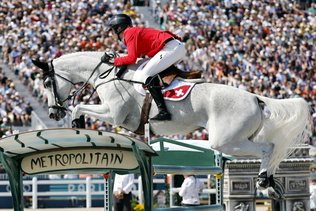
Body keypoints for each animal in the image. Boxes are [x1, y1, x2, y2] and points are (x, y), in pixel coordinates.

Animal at [32, 51, 312, 199]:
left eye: (46, 83)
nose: (53, 113)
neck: (107, 75)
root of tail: (256, 97)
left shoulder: (114, 114)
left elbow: (80, 107)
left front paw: (76, 120)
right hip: (238, 139)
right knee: (269, 149)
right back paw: (270, 183)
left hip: (226, 141)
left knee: (268, 148)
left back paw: (264, 182)